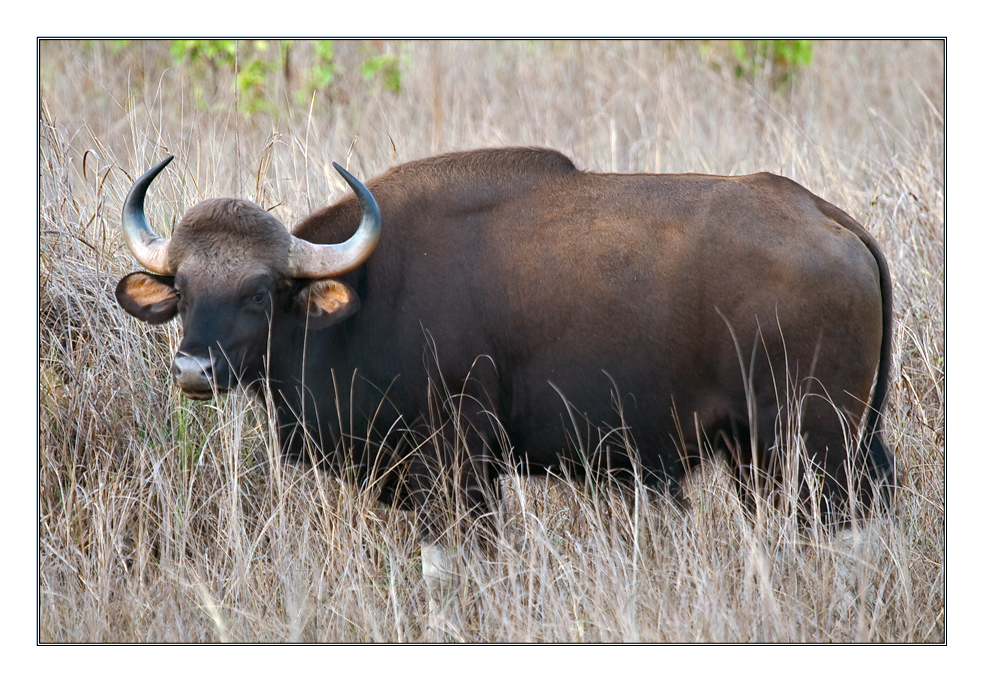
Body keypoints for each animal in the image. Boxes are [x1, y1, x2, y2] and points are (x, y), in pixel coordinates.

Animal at [117, 147, 900, 560]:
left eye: (259, 291)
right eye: (183, 287)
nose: (192, 370)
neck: (368, 293)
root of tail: (830, 220)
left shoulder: (460, 460)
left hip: (817, 445)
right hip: (772, 453)